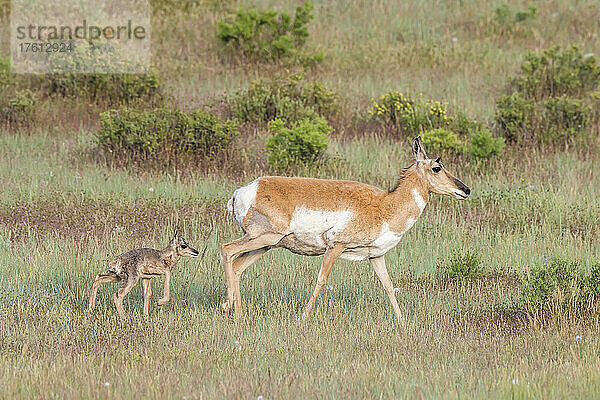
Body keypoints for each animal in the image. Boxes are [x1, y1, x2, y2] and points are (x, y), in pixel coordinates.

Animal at [220, 136, 468, 324]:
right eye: (437, 167)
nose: (466, 190)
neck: (384, 206)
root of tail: (243, 190)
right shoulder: (336, 246)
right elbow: (321, 279)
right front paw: (303, 317)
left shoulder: (376, 256)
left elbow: (388, 285)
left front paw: (402, 322)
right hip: (263, 237)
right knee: (227, 249)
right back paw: (226, 305)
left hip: (266, 244)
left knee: (238, 266)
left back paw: (239, 315)